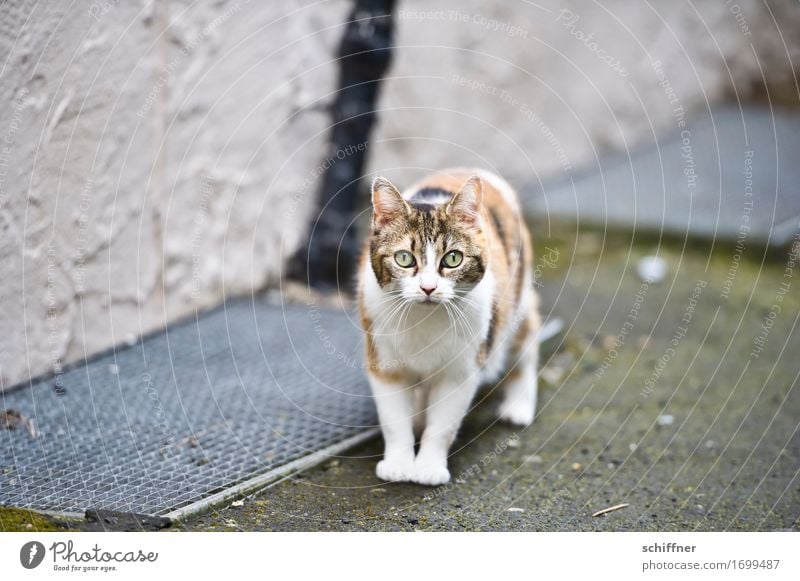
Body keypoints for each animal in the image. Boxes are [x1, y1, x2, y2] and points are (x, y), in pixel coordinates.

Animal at [358, 167, 540, 484]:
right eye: (404, 258)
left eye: (453, 259)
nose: (428, 288)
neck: (424, 317)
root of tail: (477, 171)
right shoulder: (384, 359)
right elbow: (394, 421)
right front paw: (398, 464)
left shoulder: (460, 371)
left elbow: (442, 425)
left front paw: (429, 468)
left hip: (516, 301)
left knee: (526, 343)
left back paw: (518, 406)